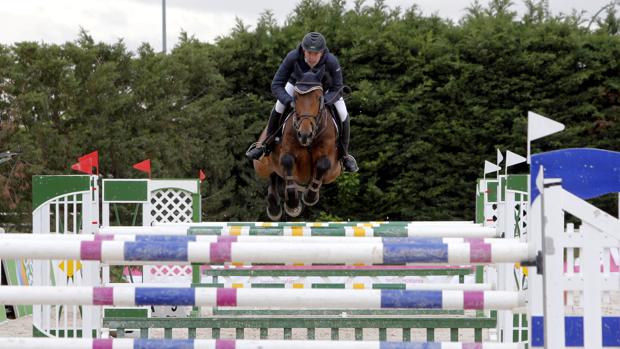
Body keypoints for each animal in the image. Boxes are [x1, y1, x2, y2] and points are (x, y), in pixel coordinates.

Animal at [252, 64, 342, 219]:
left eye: (319, 98)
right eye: (295, 97)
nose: (304, 134)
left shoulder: (329, 157)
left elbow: (323, 164)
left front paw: (309, 197)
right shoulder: (287, 152)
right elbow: (287, 161)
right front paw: (293, 204)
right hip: (262, 164)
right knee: (273, 175)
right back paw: (275, 207)